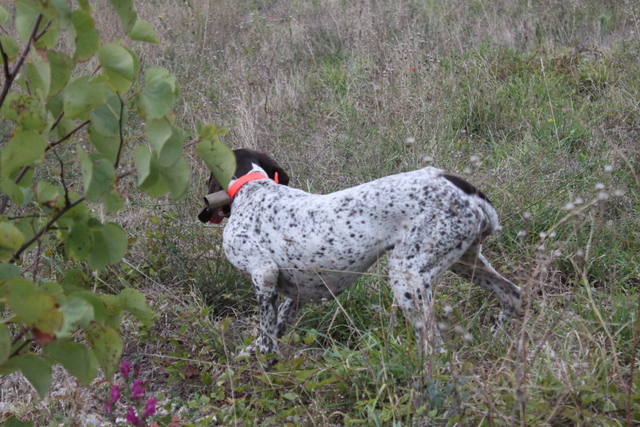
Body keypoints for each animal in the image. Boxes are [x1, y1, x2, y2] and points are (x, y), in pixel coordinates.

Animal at [198, 150, 524, 362]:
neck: (253, 187)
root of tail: (466, 190)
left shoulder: (263, 274)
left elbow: (267, 338)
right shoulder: (297, 293)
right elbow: (274, 329)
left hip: (408, 279)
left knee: (436, 348)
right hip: (466, 262)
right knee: (512, 294)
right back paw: (498, 339)